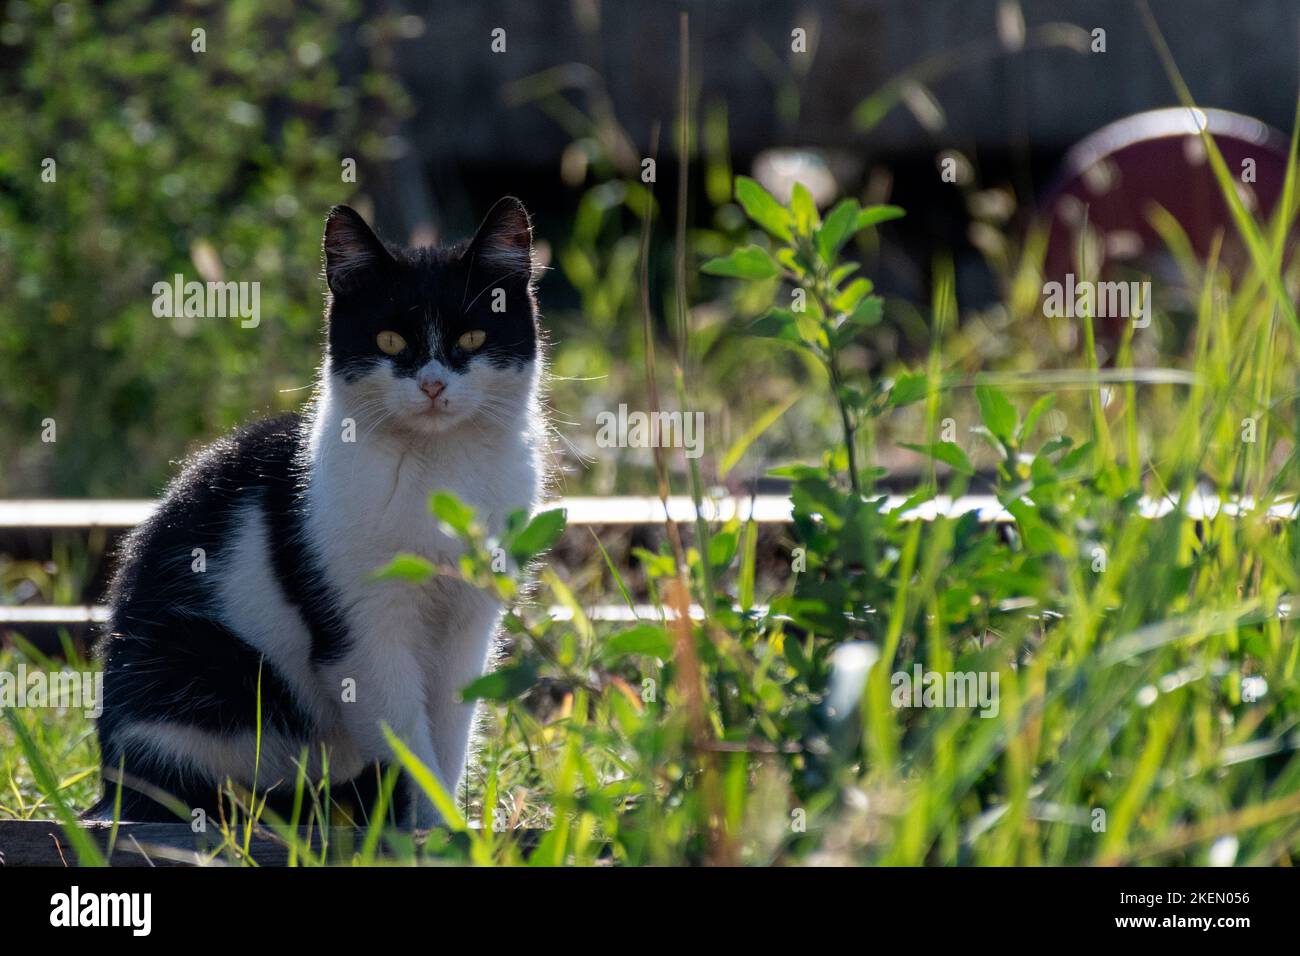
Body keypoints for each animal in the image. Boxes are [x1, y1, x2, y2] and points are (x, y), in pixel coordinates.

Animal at [87, 197, 543, 827]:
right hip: (204, 670)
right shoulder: (362, 633)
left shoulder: (470, 621)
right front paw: (426, 827)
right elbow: (405, 741)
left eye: (474, 336)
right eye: (390, 341)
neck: (439, 471)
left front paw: (446, 824)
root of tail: (110, 784)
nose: (431, 385)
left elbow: (450, 730)